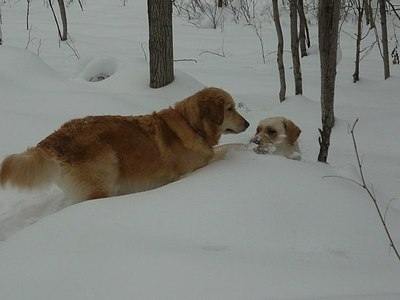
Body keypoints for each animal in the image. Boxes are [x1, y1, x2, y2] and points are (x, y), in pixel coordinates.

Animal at [0, 88, 248, 203]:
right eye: (230, 109)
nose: (247, 123)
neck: (191, 124)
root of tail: (55, 138)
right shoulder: (194, 168)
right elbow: (225, 150)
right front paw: (245, 148)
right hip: (102, 180)